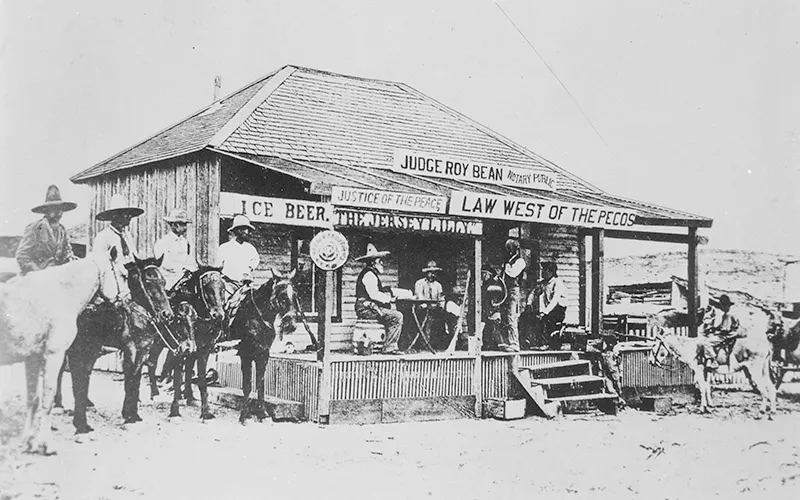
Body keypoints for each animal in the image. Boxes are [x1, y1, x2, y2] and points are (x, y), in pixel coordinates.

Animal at [0, 256, 119, 456]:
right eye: (122, 274)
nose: (120, 300)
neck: (61, 295)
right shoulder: (54, 355)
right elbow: (48, 398)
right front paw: (46, 444)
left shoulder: (32, 358)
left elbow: (33, 399)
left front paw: (27, 441)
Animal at [58, 256, 195, 432]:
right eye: (148, 281)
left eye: (163, 281)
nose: (167, 314)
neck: (136, 317)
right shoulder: (130, 349)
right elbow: (129, 379)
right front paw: (128, 417)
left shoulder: (143, 350)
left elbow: (136, 379)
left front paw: (134, 415)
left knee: (83, 373)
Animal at [145, 268, 227, 420]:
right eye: (206, 287)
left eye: (223, 288)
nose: (218, 315)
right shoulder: (179, 350)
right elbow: (178, 379)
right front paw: (175, 411)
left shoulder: (203, 351)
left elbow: (199, 379)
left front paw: (205, 411)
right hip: (156, 343)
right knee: (152, 362)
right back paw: (154, 394)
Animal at [231, 272, 300, 424]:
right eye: (283, 296)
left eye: (295, 295)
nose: (291, 325)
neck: (255, 316)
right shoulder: (245, 354)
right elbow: (247, 385)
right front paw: (243, 415)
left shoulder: (263, 354)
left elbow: (260, 384)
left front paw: (262, 413)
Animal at [648, 304, 776, 418]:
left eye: (655, 343)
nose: (650, 360)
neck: (691, 347)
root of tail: (766, 345)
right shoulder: (706, 371)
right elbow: (706, 387)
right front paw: (708, 406)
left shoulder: (699, 370)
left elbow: (702, 387)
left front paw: (703, 408)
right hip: (763, 370)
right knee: (771, 387)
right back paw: (771, 412)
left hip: (754, 371)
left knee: (764, 389)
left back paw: (761, 412)